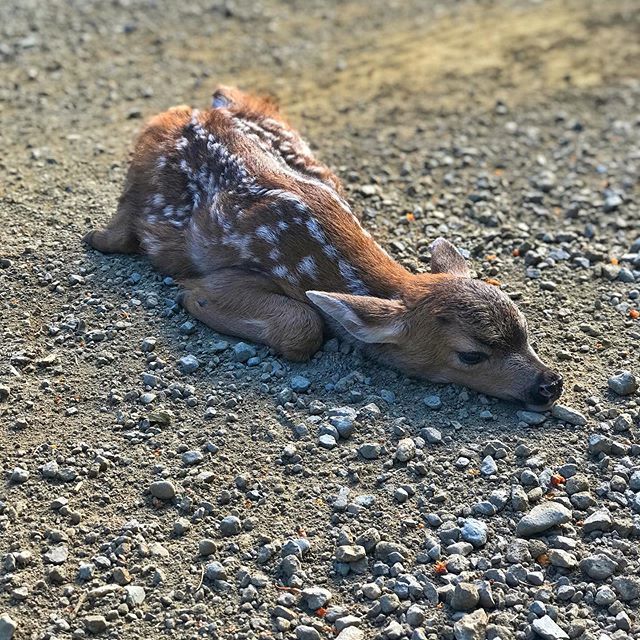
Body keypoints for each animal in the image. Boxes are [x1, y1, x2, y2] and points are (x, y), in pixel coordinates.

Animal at [84, 85, 563, 410]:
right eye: (471, 355)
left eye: (524, 329)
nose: (549, 384)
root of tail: (203, 108)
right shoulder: (230, 274)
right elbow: (303, 325)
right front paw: (191, 299)